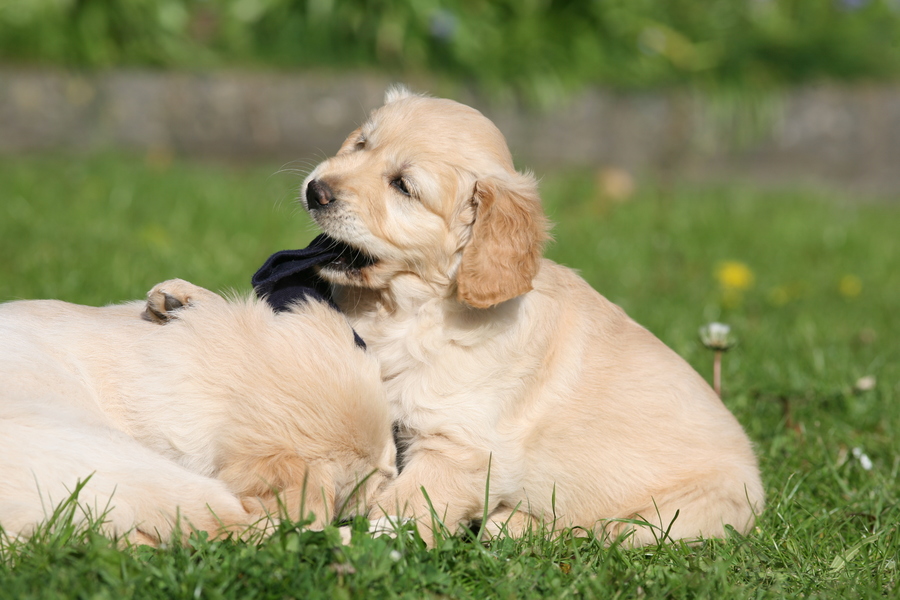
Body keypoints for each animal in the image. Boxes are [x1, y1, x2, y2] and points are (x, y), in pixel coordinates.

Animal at [298, 86, 764, 548]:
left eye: (403, 186)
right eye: (361, 144)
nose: (315, 191)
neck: (410, 308)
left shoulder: (463, 446)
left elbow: (402, 508)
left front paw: (348, 545)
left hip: (672, 519)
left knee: (598, 532)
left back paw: (511, 524)